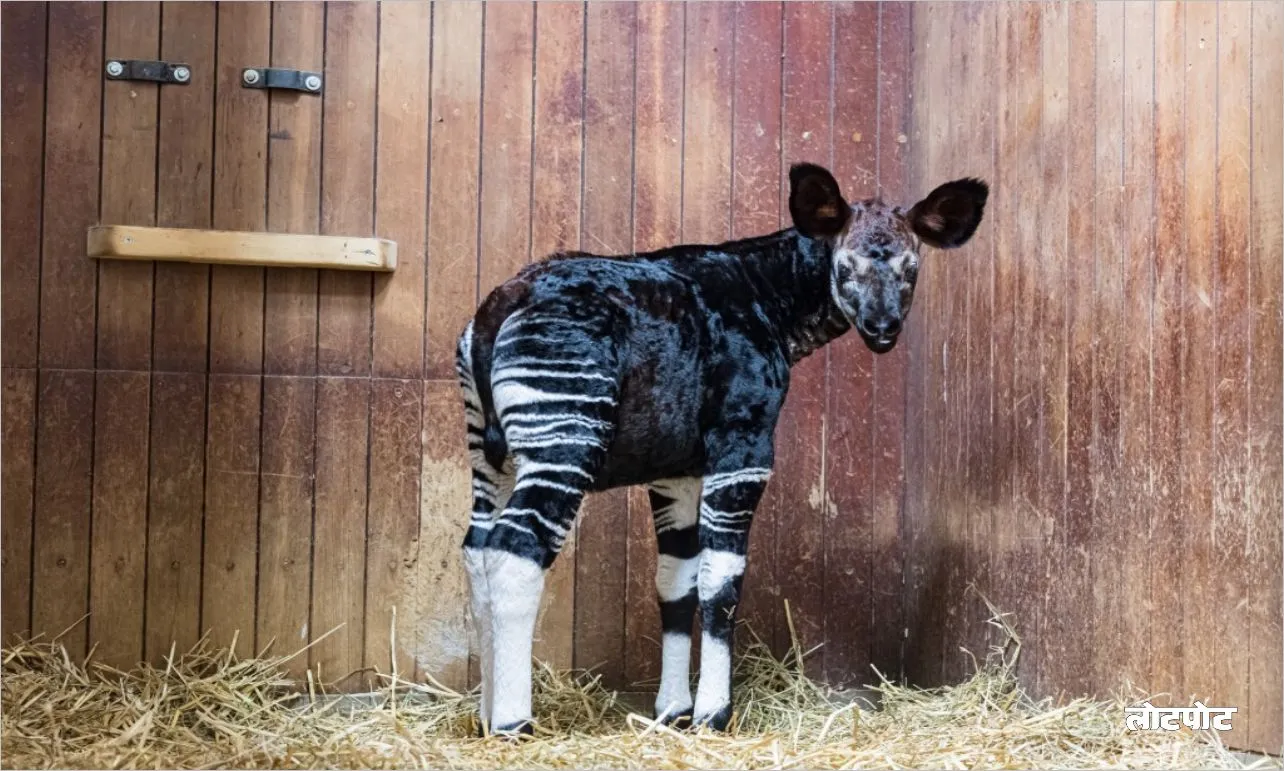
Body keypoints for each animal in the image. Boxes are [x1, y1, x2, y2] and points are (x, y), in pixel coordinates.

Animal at [457, 161, 986, 735]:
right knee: (515, 551)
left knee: (477, 552)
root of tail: (503, 304)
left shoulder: (677, 471)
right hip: (563, 439)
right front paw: (713, 712)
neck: (766, 297)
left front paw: (671, 710)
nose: (884, 329)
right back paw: (514, 723)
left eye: (912, 267)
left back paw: (485, 716)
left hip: (490, 457)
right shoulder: (743, 445)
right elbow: (721, 582)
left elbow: (675, 582)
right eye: (845, 267)